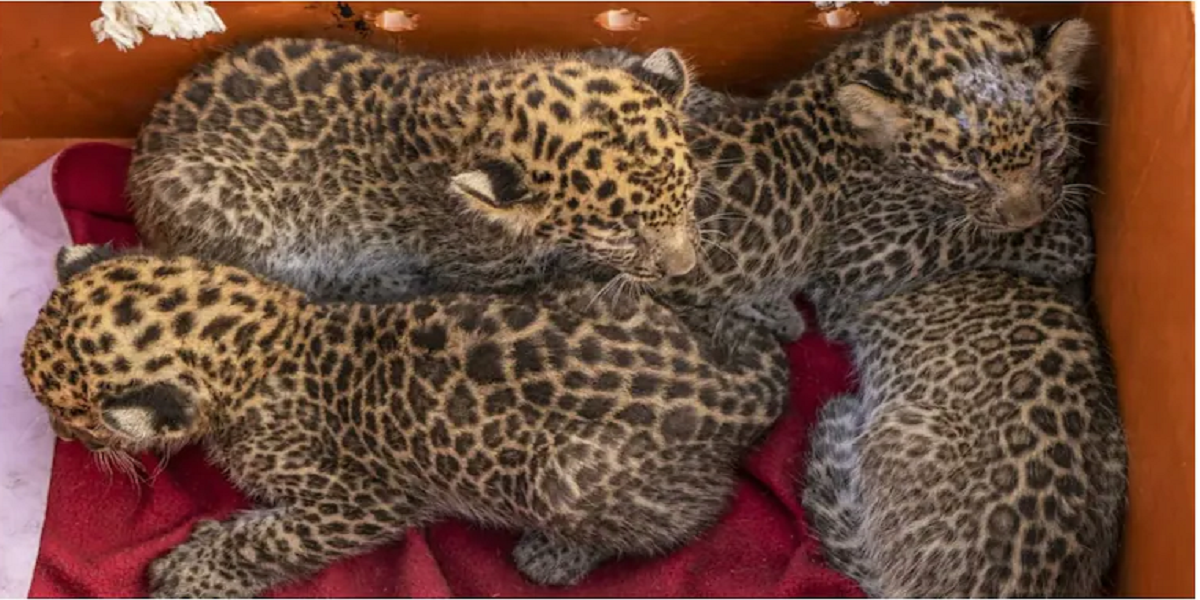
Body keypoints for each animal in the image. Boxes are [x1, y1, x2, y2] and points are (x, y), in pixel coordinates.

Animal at [22, 243, 789, 597]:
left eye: (68, 415)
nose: (57, 436)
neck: (264, 337)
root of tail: (724, 386)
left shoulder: (363, 501)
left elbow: (274, 537)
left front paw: (194, 567)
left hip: (566, 477)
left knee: (689, 517)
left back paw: (558, 554)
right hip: (586, 286)